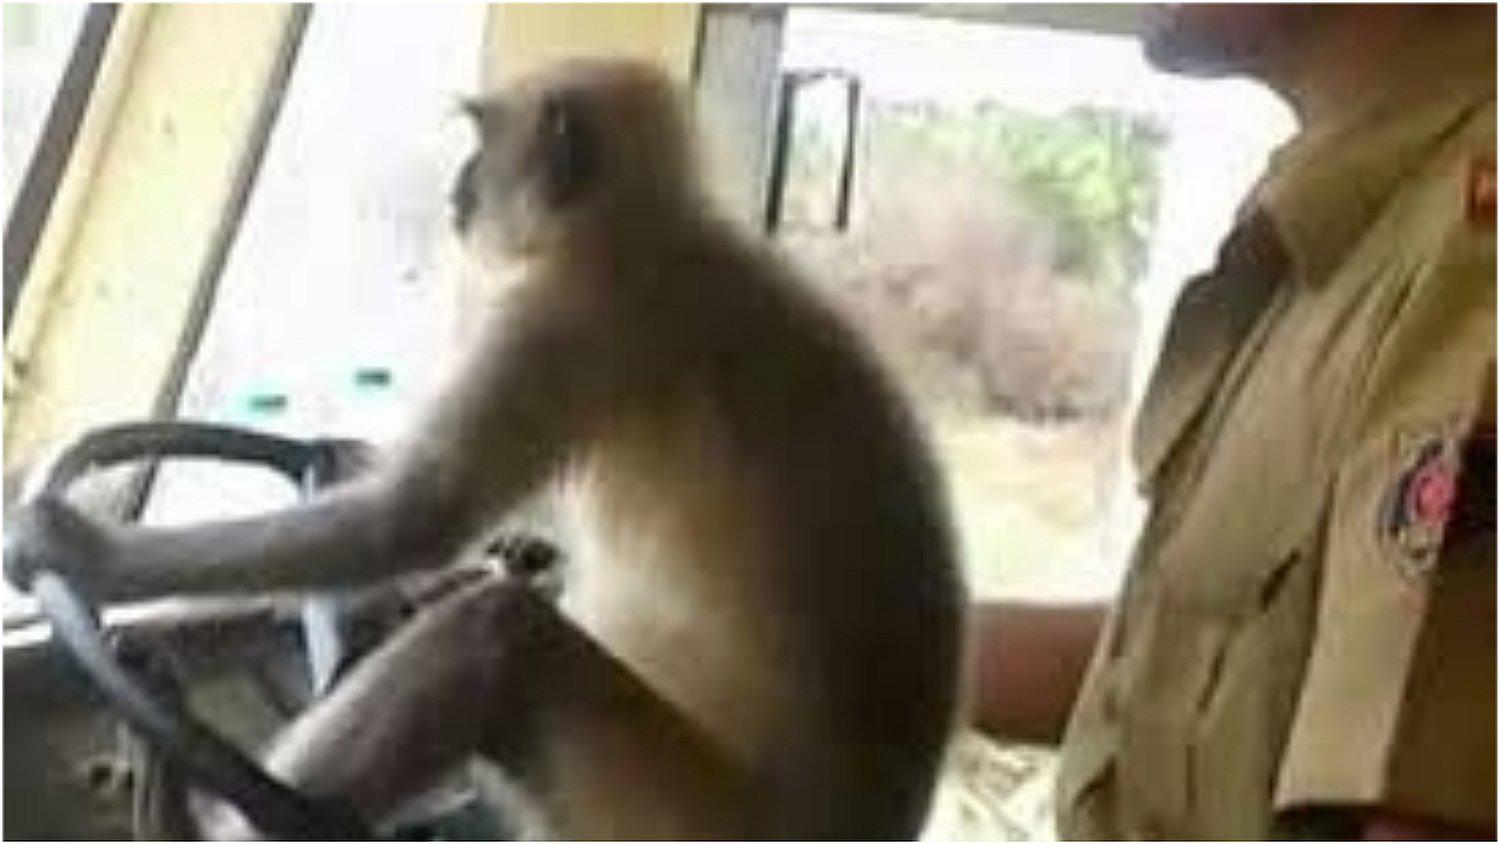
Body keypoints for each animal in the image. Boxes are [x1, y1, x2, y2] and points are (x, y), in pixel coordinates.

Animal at [8, 59, 967, 839]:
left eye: (481, 142)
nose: (458, 183)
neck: (648, 236)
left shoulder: (568, 316)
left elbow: (415, 518)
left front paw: (82, 551)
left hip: (669, 817)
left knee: (496, 638)